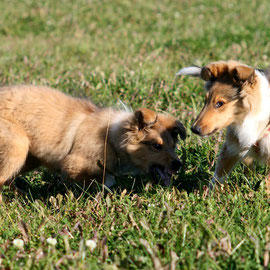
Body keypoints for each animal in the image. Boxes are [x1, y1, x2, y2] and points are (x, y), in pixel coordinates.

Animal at [0, 84, 186, 200]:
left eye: (173, 147)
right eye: (156, 146)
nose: (178, 165)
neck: (111, 139)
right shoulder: (72, 166)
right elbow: (104, 179)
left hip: (29, 157)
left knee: (8, 180)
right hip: (18, 145)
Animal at [176, 60, 270, 189]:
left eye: (220, 103)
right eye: (205, 101)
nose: (194, 129)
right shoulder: (232, 147)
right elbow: (218, 176)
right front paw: (210, 193)